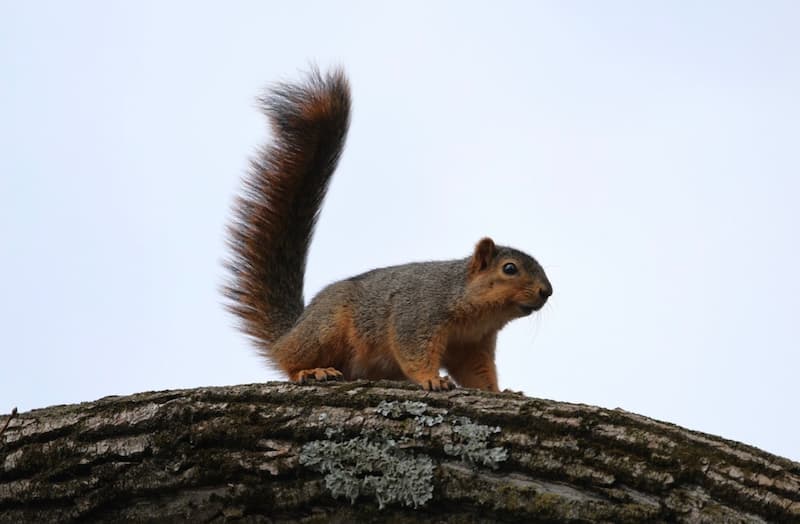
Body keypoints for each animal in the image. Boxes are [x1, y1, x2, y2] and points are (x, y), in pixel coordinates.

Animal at [224, 68, 552, 392]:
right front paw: (432, 378)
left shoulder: (472, 345)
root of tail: (291, 330)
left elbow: (479, 373)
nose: (546, 292)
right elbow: (414, 352)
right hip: (325, 329)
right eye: (509, 269)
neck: (471, 306)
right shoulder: (417, 316)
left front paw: (501, 391)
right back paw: (312, 371)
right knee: (289, 360)